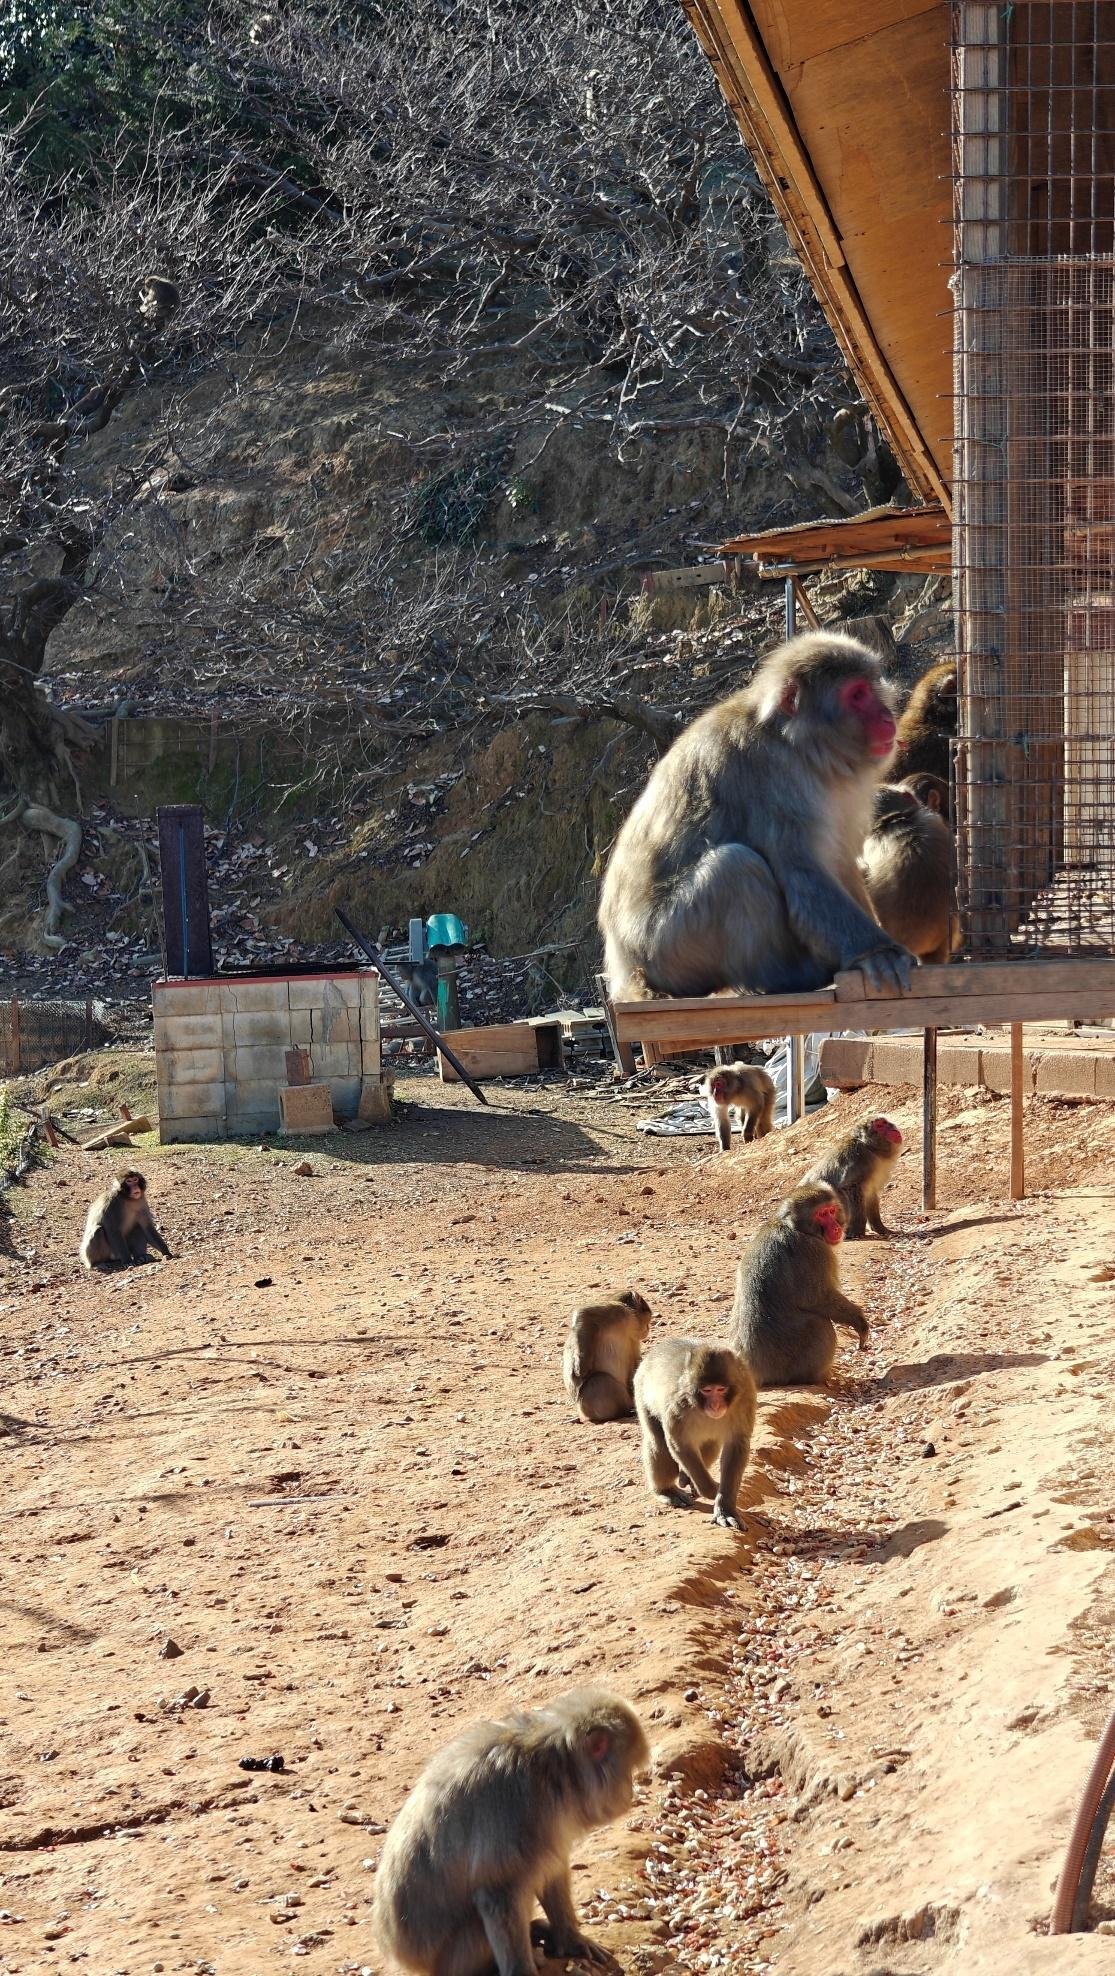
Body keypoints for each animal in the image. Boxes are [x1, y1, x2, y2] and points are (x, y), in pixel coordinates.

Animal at [373, 1687, 647, 1976]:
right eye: (629, 1769)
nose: (630, 1792)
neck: (553, 1768)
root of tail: (405, 1958)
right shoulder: (516, 1803)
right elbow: (497, 1893)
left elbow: (552, 1867)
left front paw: (571, 1939)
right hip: (452, 1956)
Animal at [562, 1288, 652, 1423]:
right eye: (648, 1319)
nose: (648, 1328)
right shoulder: (618, 1311)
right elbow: (585, 1314)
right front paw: (581, 1365)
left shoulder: (634, 1338)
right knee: (599, 1380)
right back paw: (623, 1411)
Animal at [598, 631, 913, 1003]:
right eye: (857, 695)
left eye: (870, 688)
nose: (887, 717)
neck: (797, 745)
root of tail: (624, 971)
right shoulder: (771, 777)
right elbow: (802, 871)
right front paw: (877, 953)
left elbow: (839, 862)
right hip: (666, 951)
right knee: (734, 867)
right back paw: (789, 977)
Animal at [632, 1338, 756, 1531]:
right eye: (707, 1390)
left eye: (721, 1389)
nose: (715, 1406)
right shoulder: (678, 1404)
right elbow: (679, 1443)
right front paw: (711, 1490)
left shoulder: (745, 1399)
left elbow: (737, 1445)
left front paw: (725, 1507)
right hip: (641, 1392)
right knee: (657, 1443)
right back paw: (666, 1491)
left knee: (711, 1445)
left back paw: (685, 1476)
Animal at [730, 1181, 868, 1387]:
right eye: (822, 1214)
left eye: (831, 1210)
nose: (836, 1227)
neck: (795, 1227)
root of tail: (757, 1373)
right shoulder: (815, 1251)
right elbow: (820, 1298)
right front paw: (859, 1321)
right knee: (821, 1325)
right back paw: (821, 1376)